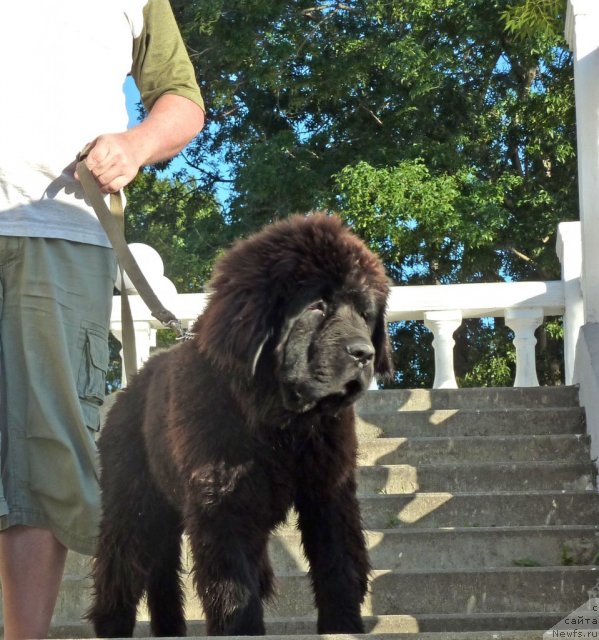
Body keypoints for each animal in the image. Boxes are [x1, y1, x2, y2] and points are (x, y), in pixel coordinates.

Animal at [86, 214, 392, 636]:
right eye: (317, 305)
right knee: (119, 574)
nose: (365, 353)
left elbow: (340, 566)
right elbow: (233, 588)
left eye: (365, 312)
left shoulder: (328, 491)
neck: (282, 424)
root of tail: (132, 385)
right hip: (133, 505)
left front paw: (342, 627)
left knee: (163, 578)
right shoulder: (221, 503)